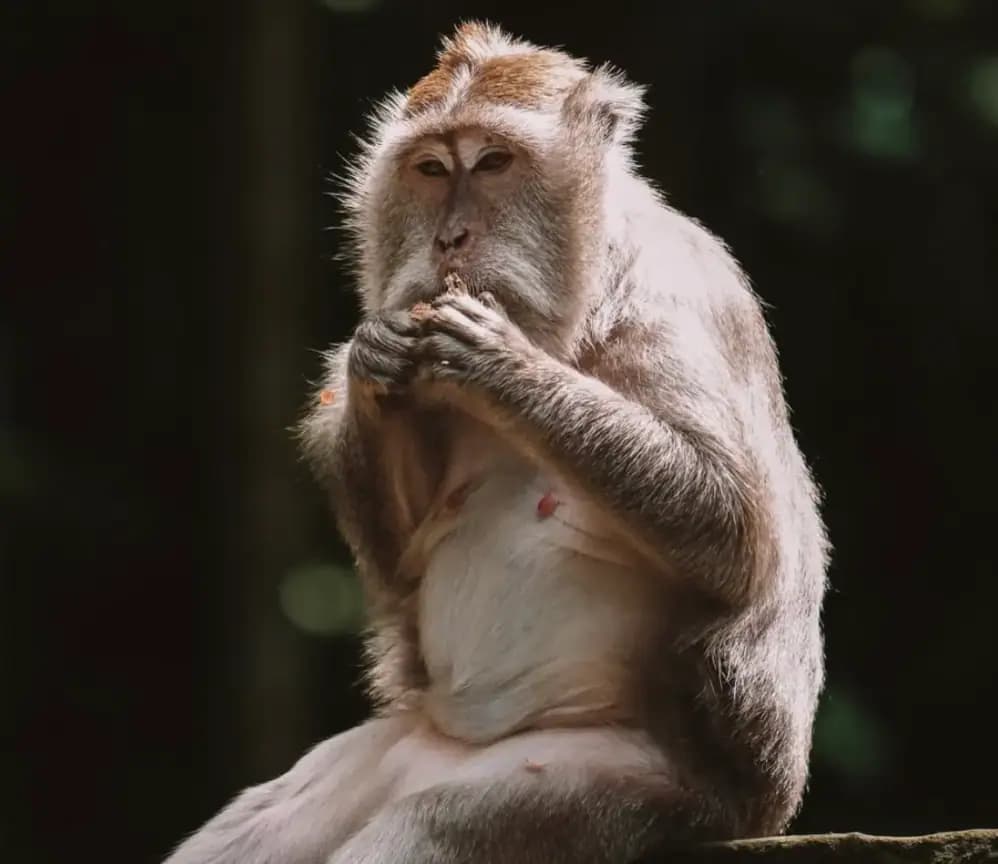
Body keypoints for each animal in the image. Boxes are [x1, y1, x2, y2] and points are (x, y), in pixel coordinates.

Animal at [163, 21, 829, 864]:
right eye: (431, 169)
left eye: (493, 163)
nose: (451, 237)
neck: (578, 309)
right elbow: (400, 561)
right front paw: (372, 363)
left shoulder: (677, 298)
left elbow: (737, 530)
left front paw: (495, 361)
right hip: (398, 747)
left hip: (612, 796)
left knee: (432, 825)